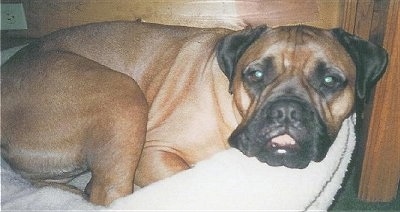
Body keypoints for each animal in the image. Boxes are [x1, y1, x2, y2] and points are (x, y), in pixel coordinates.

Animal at [0, 20, 388, 205]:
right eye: (255, 75)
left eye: (330, 80)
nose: (287, 111)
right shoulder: (153, 153)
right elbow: (184, 178)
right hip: (122, 93)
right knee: (109, 194)